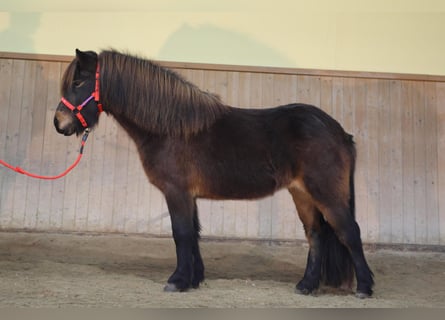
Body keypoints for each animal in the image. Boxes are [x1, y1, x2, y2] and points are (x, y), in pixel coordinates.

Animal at [53, 49, 372, 298]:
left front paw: (177, 281)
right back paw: (306, 285)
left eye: (79, 82)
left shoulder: (177, 192)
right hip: (302, 193)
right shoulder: (189, 196)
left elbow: (181, 233)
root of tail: (339, 132)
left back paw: (365, 288)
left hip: (326, 194)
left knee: (349, 232)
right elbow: (193, 233)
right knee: (315, 235)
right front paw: (194, 279)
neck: (171, 128)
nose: (59, 123)